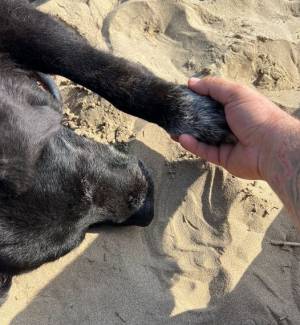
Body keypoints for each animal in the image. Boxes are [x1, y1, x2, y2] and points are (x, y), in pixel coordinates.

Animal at [0, 0, 233, 304]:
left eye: (82, 176)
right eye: (78, 238)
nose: (149, 210)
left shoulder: (15, 18)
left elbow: (91, 66)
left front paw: (188, 113)